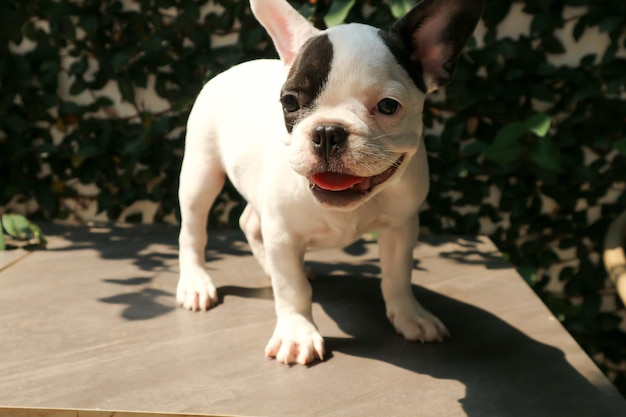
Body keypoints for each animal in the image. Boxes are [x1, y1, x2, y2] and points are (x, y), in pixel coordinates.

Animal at [177, 0, 482, 364]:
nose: (327, 132)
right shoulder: (283, 233)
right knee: (193, 230)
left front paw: (410, 316)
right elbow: (292, 289)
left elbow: (397, 276)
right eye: (290, 103)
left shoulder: (401, 226)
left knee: (249, 222)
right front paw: (297, 333)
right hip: (200, 174)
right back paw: (196, 282)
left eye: (388, 106)